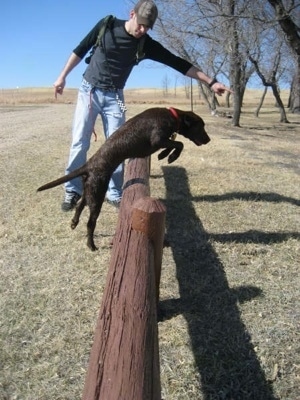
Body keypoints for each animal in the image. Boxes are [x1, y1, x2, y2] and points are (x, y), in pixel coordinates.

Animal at [37, 106, 210, 250]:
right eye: (201, 126)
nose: (208, 140)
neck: (172, 116)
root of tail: (89, 164)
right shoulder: (157, 139)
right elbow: (179, 143)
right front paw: (170, 156)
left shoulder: (162, 141)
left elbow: (175, 143)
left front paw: (164, 155)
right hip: (98, 195)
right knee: (90, 223)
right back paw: (91, 245)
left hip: (90, 191)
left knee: (79, 206)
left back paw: (74, 223)